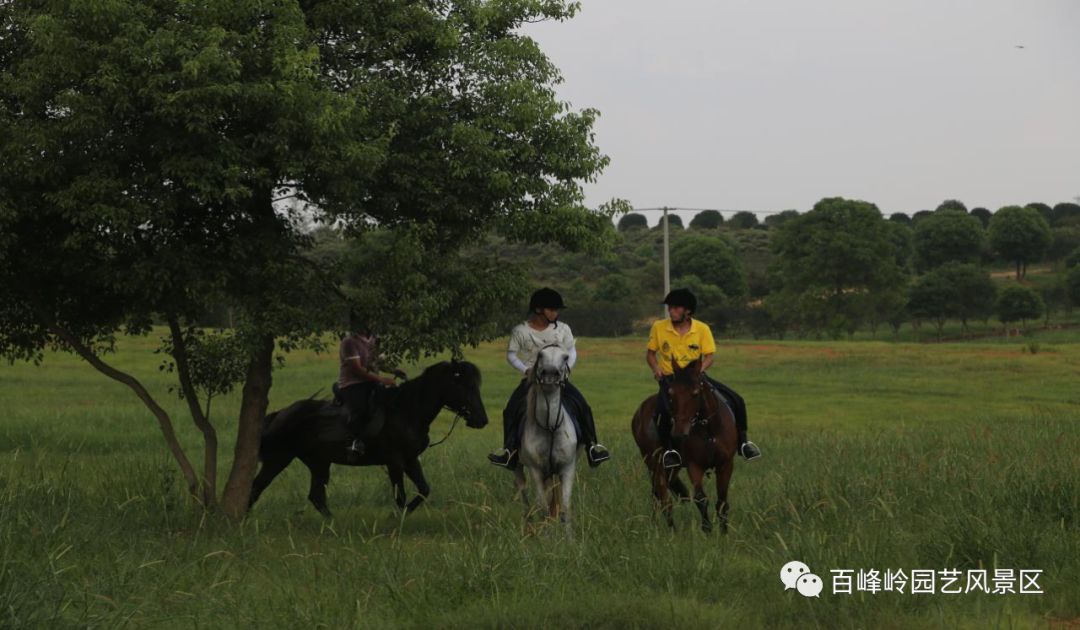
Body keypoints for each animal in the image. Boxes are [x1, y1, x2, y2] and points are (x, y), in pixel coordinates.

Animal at [247, 360, 488, 518]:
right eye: (462, 385)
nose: (481, 420)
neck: (406, 411)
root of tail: (280, 414)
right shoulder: (394, 461)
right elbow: (400, 496)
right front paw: (396, 520)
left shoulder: (410, 460)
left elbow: (424, 489)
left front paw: (401, 516)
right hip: (279, 458)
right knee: (258, 486)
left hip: (319, 462)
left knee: (316, 496)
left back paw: (334, 525)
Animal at [516, 343, 583, 529]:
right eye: (540, 355)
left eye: (565, 357)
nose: (550, 374)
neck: (550, 427)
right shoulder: (536, 471)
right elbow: (542, 510)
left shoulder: (567, 468)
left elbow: (565, 509)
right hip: (518, 468)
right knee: (524, 498)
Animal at [630, 360, 738, 531]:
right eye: (671, 394)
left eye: (695, 393)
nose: (679, 433)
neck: (709, 429)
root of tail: (638, 413)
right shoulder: (694, 466)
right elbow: (701, 499)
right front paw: (707, 530)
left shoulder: (726, 464)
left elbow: (722, 503)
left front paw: (724, 533)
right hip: (654, 463)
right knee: (663, 500)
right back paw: (671, 532)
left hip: (672, 468)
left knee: (656, 496)